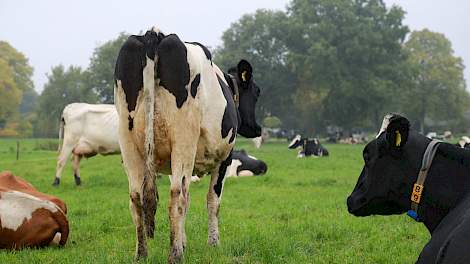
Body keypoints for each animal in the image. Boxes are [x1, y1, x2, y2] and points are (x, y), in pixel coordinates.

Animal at [112, 26, 262, 262]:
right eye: (256, 92)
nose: (257, 129)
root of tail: (154, 34)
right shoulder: (225, 158)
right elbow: (213, 200)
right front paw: (213, 244)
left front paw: (183, 242)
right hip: (183, 138)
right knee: (176, 197)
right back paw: (175, 255)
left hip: (128, 140)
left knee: (136, 198)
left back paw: (142, 254)